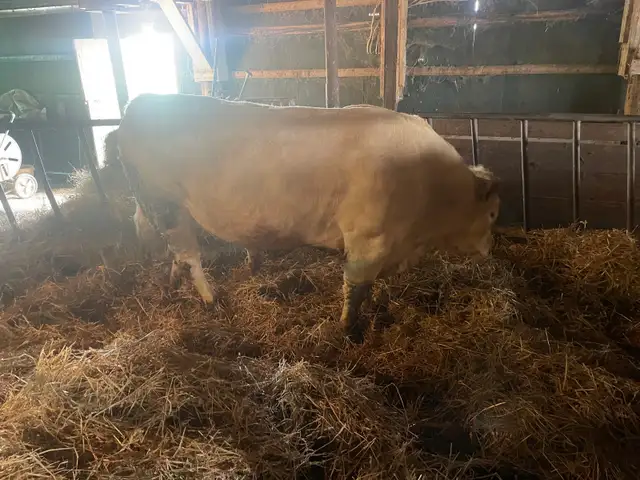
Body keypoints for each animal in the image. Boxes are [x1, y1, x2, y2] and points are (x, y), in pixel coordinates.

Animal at [103, 93, 500, 339]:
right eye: (494, 214)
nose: (489, 249)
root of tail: (141, 104)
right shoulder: (367, 241)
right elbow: (355, 289)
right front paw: (349, 332)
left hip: (159, 207)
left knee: (171, 252)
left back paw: (171, 290)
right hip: (165, 202)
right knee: (189, 255)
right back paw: (209, 300)